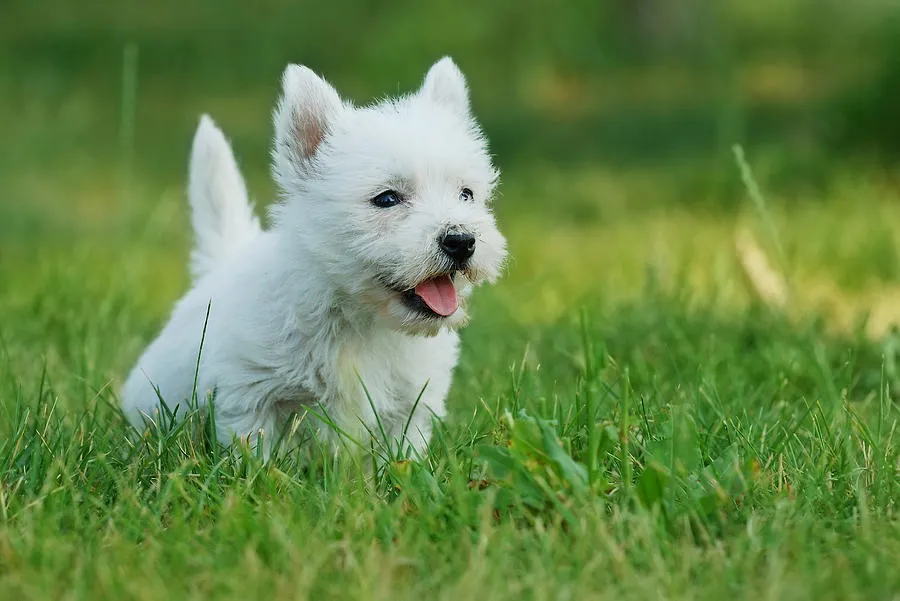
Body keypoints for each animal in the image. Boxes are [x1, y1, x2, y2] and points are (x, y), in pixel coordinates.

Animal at [121, 58, 506, 458]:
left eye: (466, 194)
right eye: (386, 198)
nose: (461, 241)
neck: (359, 321)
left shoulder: (411, 405)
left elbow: (402, 453)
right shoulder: (249, 393)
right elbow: (255, 452)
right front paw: (258, 472)